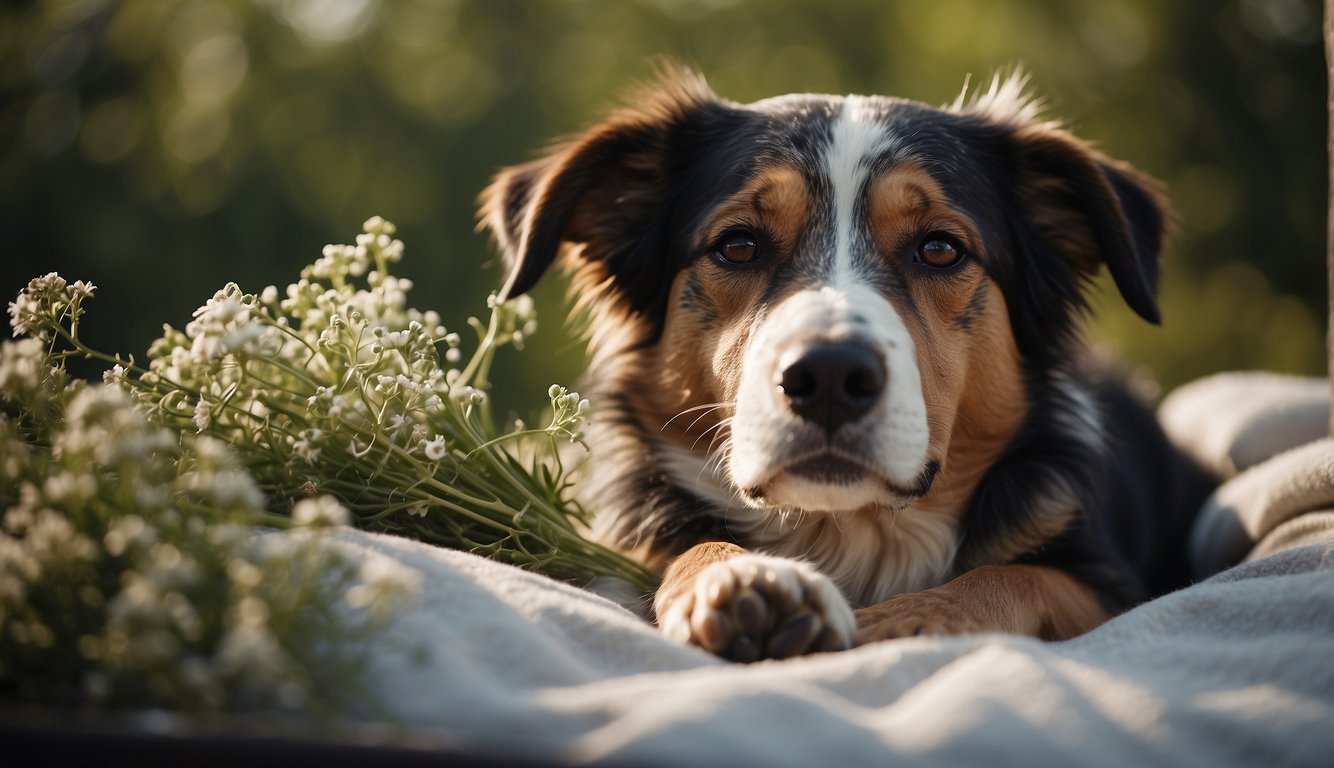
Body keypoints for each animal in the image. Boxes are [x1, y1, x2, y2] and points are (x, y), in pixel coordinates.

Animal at [477, 69, 1211, 664]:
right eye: (738, 245)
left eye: (940, 249)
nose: (828, 377)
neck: (851, 529)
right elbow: (684, 549)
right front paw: (743, 580)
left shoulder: (1112, 583)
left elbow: (1010, 577)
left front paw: (906, 620)